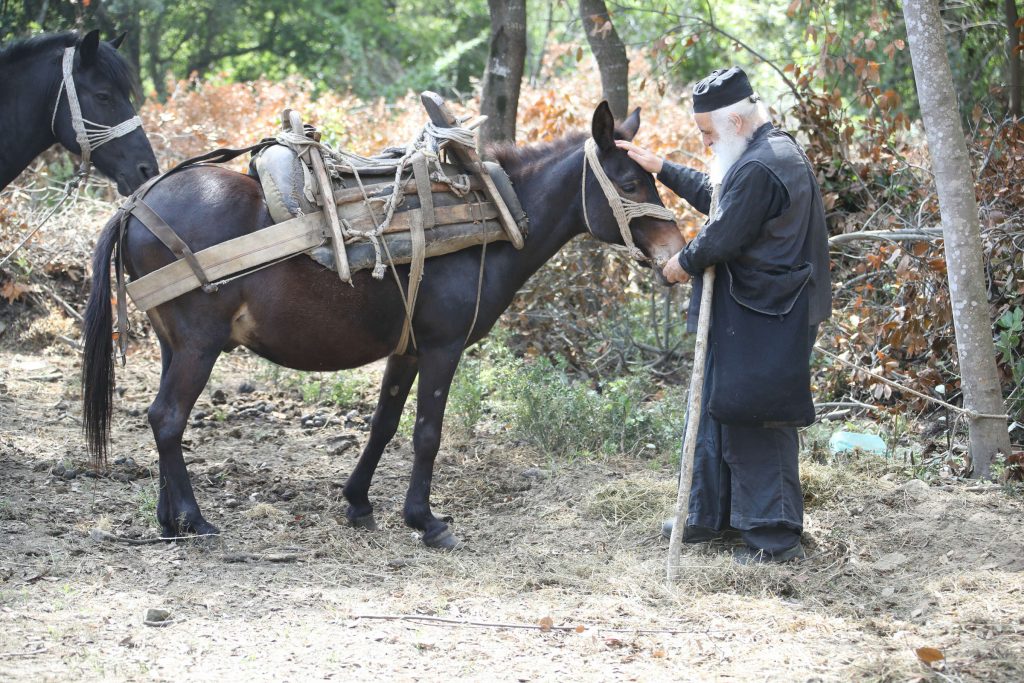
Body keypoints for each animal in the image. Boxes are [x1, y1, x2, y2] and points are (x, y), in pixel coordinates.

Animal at [81, 102, 688, 548]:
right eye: (630, 182)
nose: (675, 252)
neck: (492, 214)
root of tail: (135, 206)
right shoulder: (443, 347)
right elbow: (427, 433)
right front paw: (426, 520)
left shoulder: (409, 349)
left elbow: (383, 424)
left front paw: (358, 502)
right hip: (199, 345)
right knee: (167, 418)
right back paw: (193, 518)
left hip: (174, 344)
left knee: (164, 420)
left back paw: (168, 519)